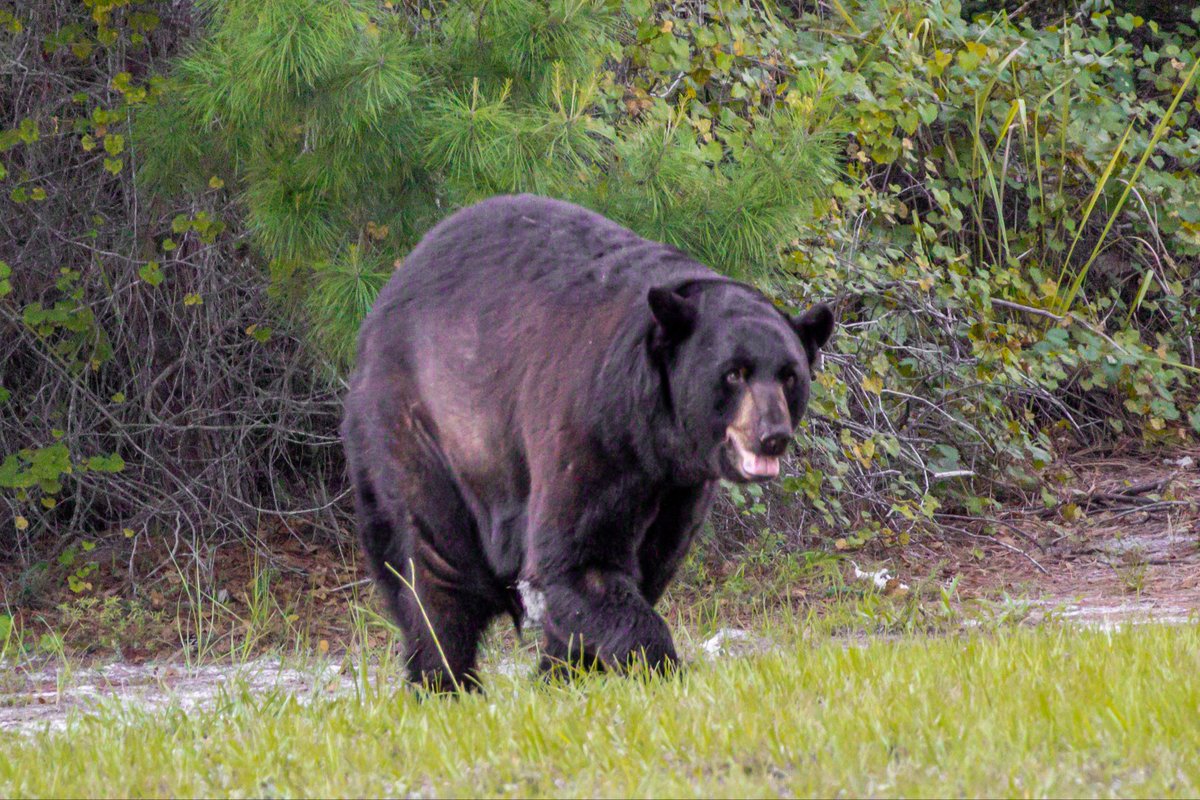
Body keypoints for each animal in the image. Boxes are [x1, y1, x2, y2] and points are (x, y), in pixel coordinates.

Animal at [342, 194, 833, 690]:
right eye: (734, 373)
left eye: (790, 375)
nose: (772, 436)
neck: (655, 436)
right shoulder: (589, 426)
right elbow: (578, 557)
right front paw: (661, 666)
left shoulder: (679, 487)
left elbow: (649, 561)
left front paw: (562, 673)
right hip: (418, 428)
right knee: (433, 569)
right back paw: (445, 681)